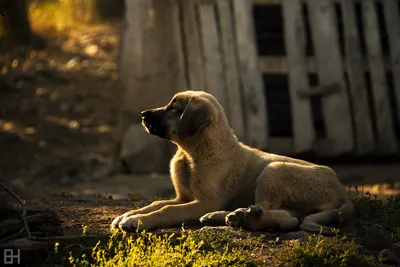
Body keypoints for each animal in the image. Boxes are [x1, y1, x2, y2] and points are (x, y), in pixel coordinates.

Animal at [110, 91, 354, 236]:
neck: (193, 154)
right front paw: (129, 215)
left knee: (287, 219)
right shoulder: (184, 197)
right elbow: (156, 203)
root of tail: (343, 192)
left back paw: (239, 216)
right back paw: (226, 215)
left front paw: (138, 221)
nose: (143, 114)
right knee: (285, 215)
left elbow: (167, 210)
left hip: (274, 170)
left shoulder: (204, 201)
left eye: (174, 108)